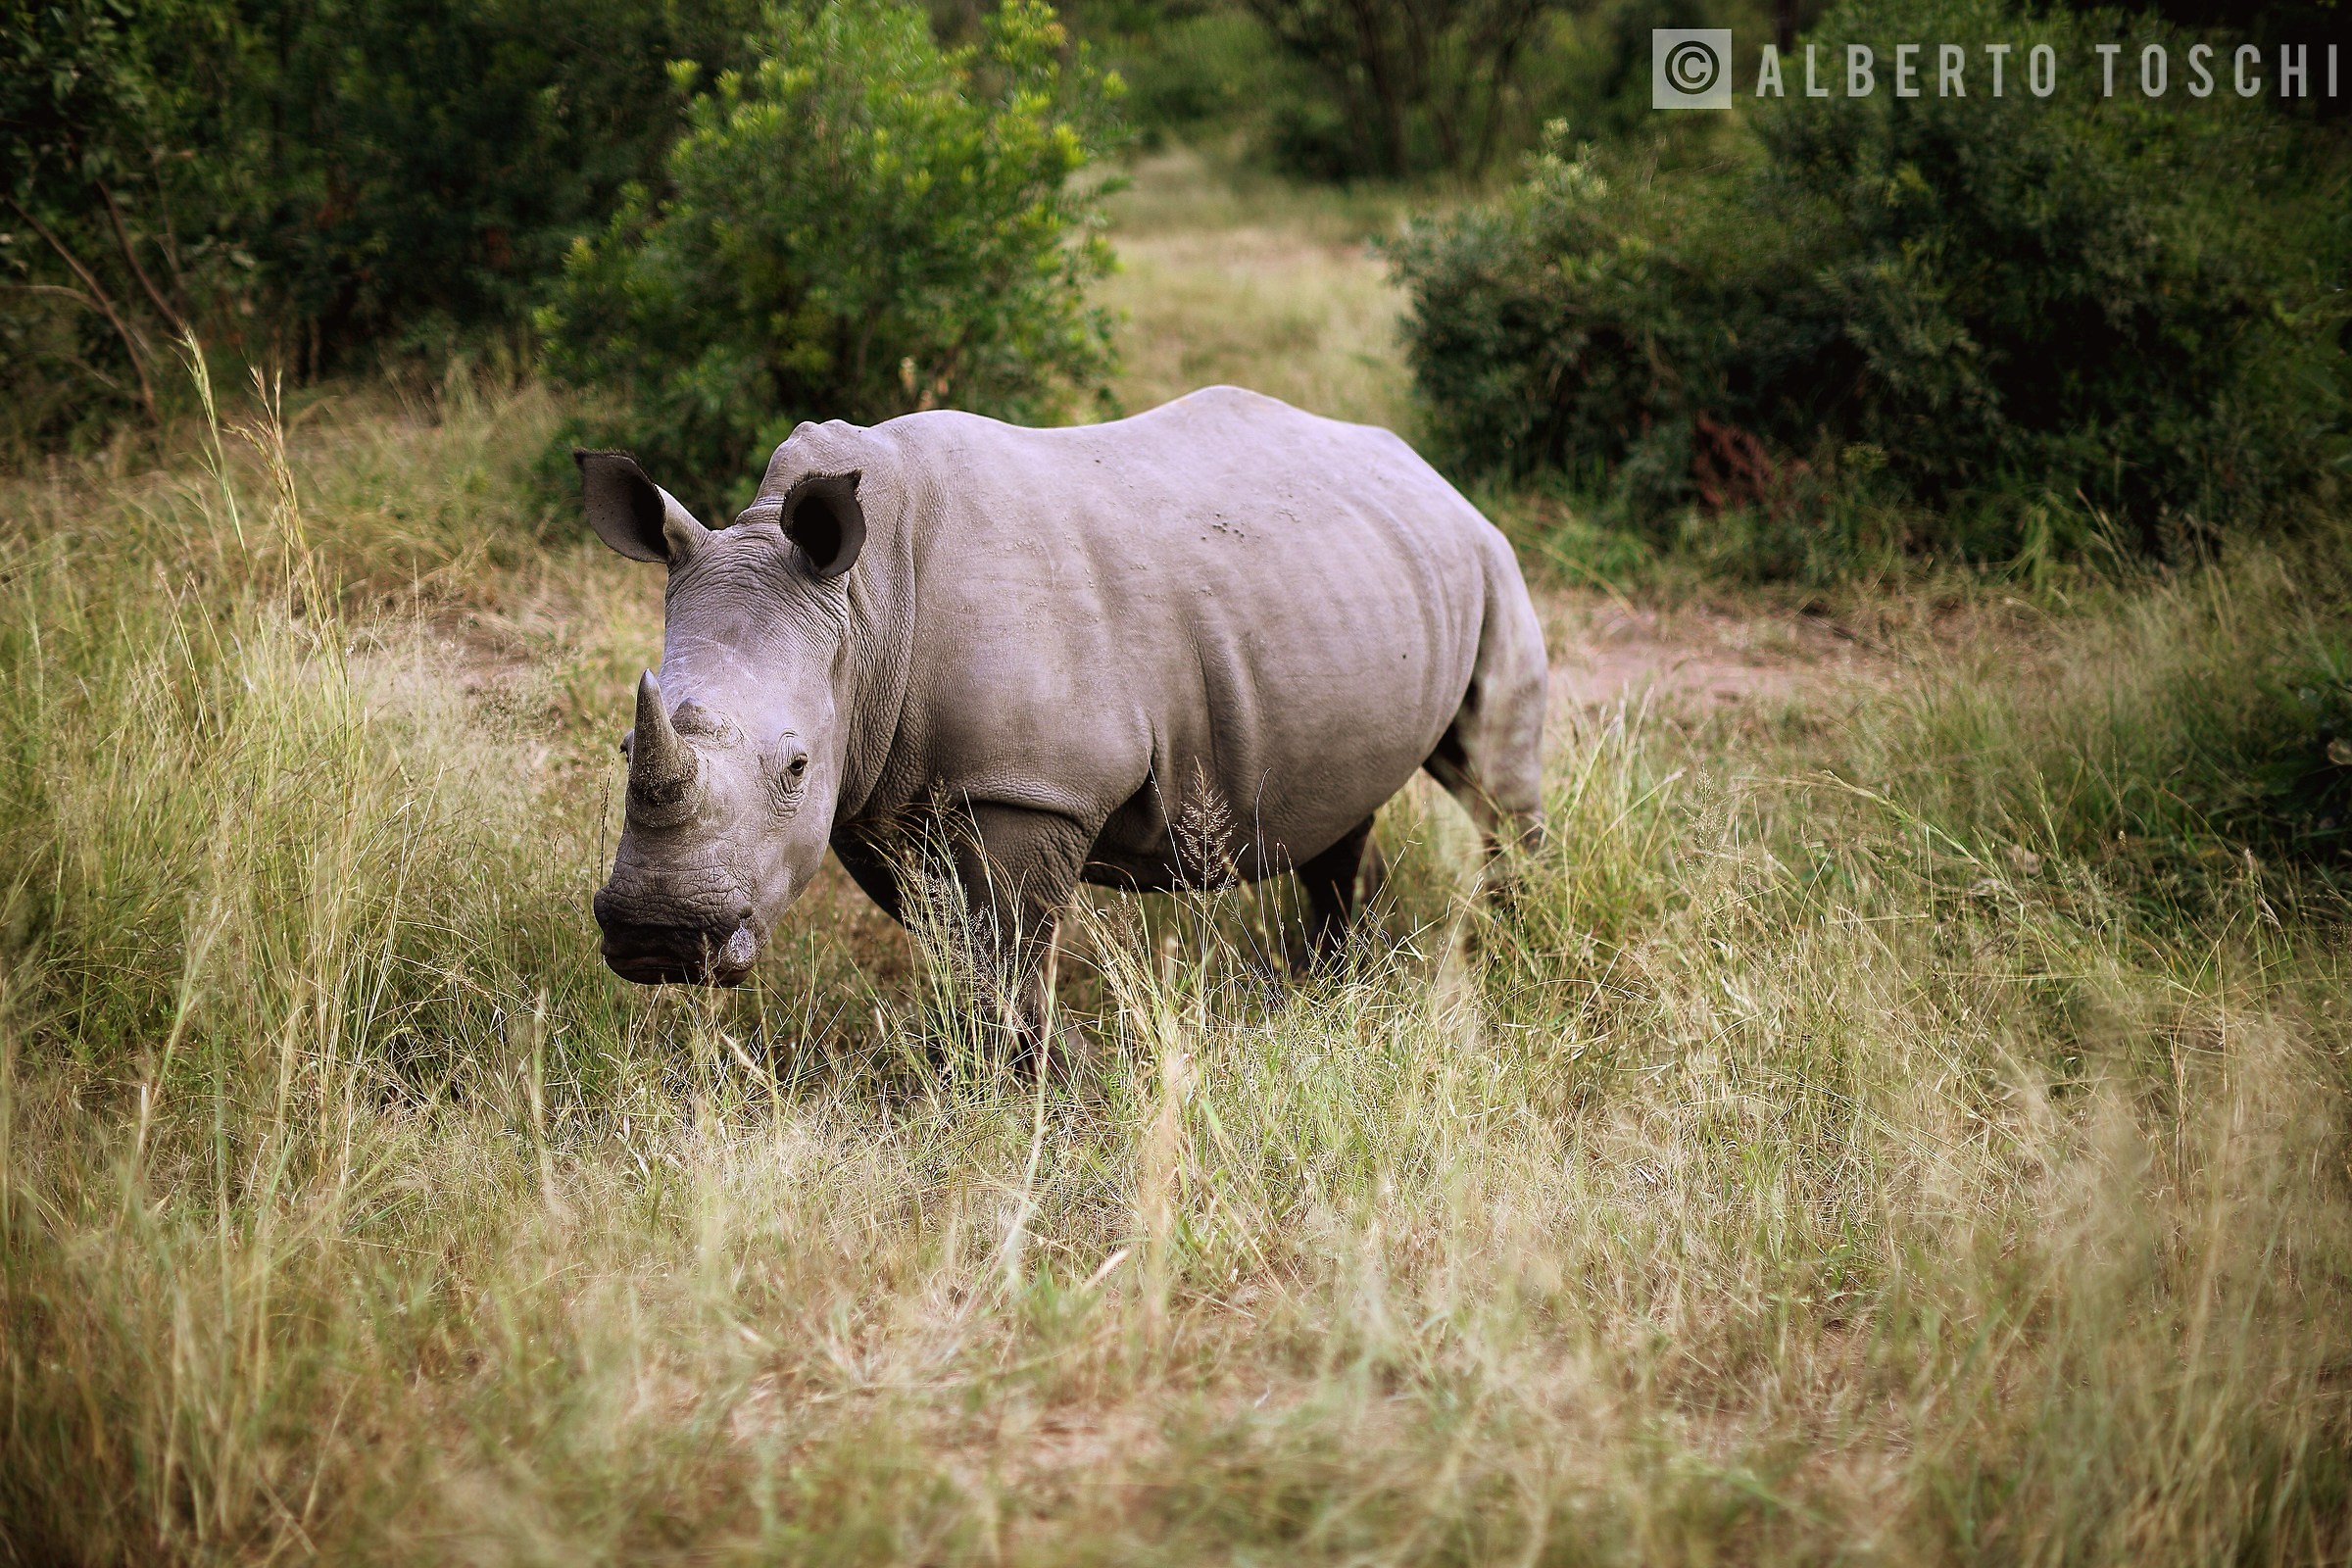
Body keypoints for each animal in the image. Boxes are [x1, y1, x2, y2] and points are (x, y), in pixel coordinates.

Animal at [581, 386, 1546, 1036]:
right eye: (627, 747)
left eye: (794, 765)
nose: (661, 938)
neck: (865, 604)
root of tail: (1425, 470)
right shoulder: (876, 785)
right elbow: (953, 942)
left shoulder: (1029, 787)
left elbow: (1002, 950)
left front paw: (1025, 1087)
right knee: (1341, 808)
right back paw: (1331, 984)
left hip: (1490, 558)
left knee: (1491, 777)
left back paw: (1511, 944)